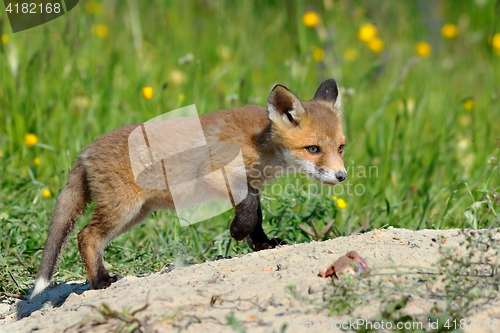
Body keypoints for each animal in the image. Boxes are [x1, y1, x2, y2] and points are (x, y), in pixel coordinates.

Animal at [30, 80, 344, 296]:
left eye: (341, 147)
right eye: (313, 149)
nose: (341, 176)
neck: (260, 144)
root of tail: (86, 151)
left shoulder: (252, 184)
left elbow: (256, 216)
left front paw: (262, 244)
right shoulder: (215, 175)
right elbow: (248, 210)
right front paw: (238, 232)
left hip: (135, 214)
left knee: (89, 237)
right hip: (123, 210)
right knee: (86, 236)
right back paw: (101, 281)